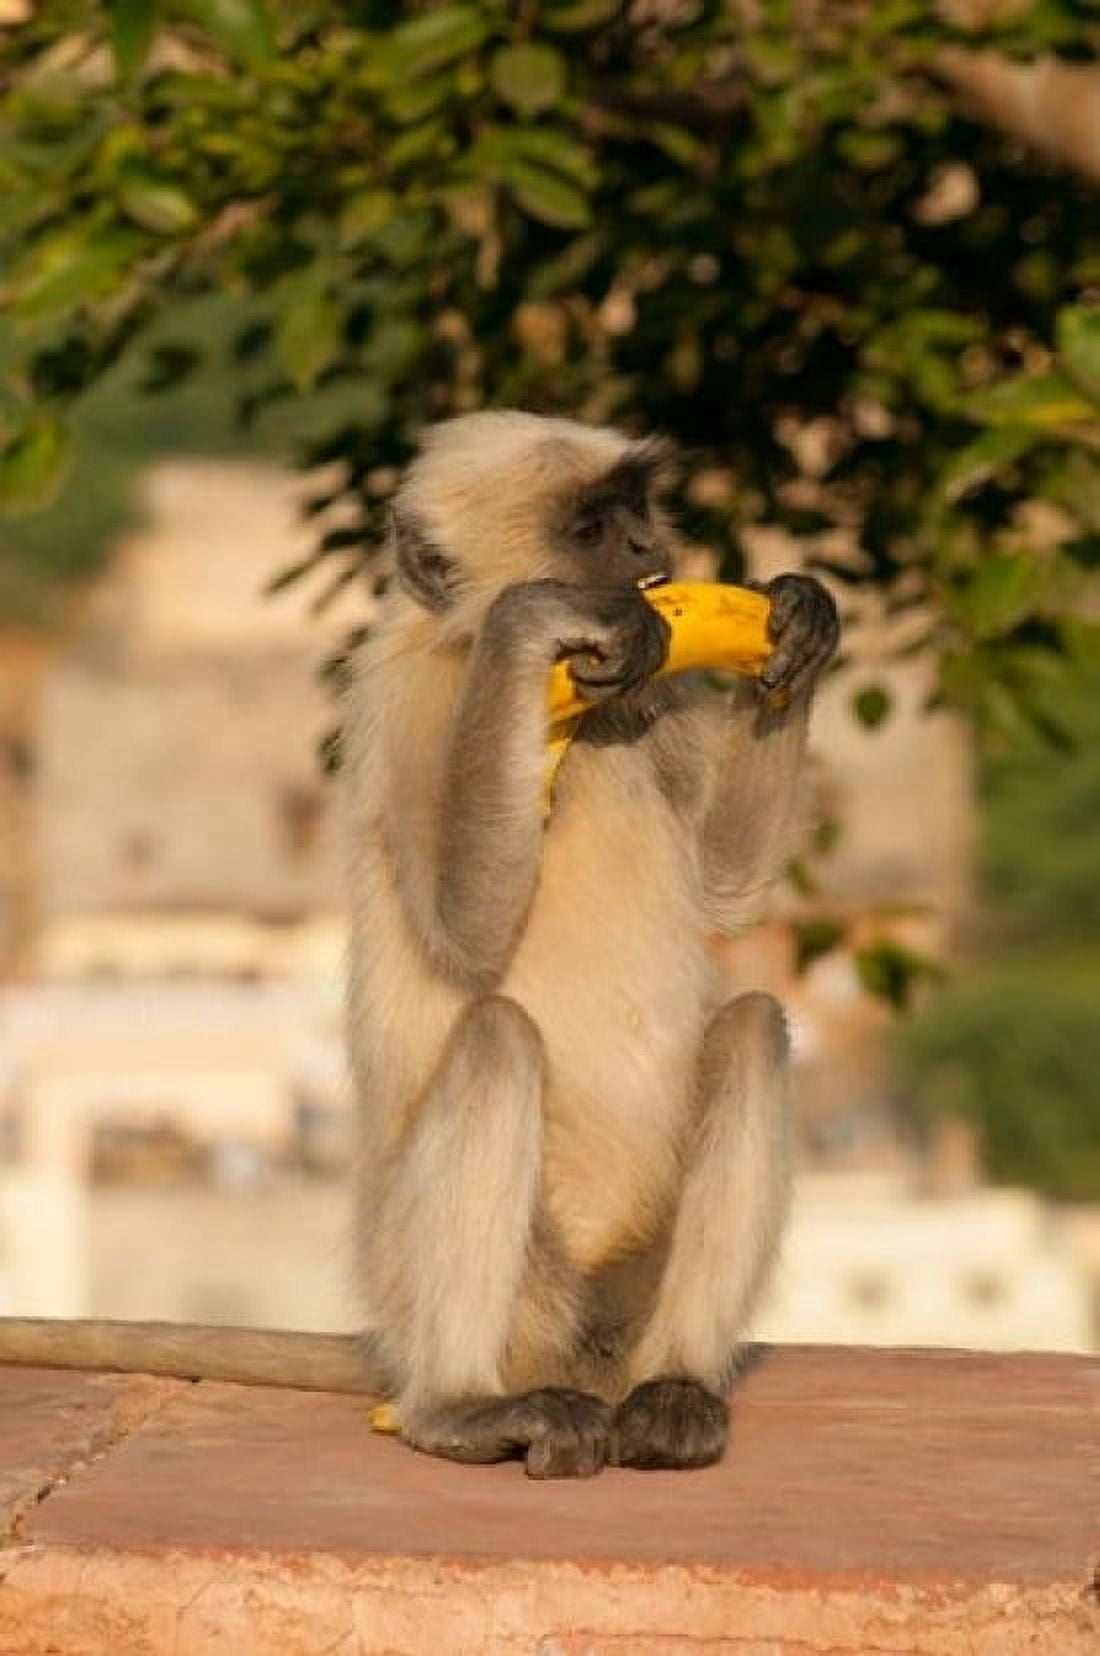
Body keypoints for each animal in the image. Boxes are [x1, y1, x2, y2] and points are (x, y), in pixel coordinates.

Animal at [0, 411, 837, 1479]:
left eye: (638, 510)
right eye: (592, 530)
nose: (652, 550)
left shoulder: (654, 701)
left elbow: (728, 894)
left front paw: (803, 622)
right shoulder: (409, 709)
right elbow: (466, 936)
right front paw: (532, 623)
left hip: (626, 1286)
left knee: (751, 1028)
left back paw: (674, 1390)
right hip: (466, 1279)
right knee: (496, 1039)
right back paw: (458, 1409)